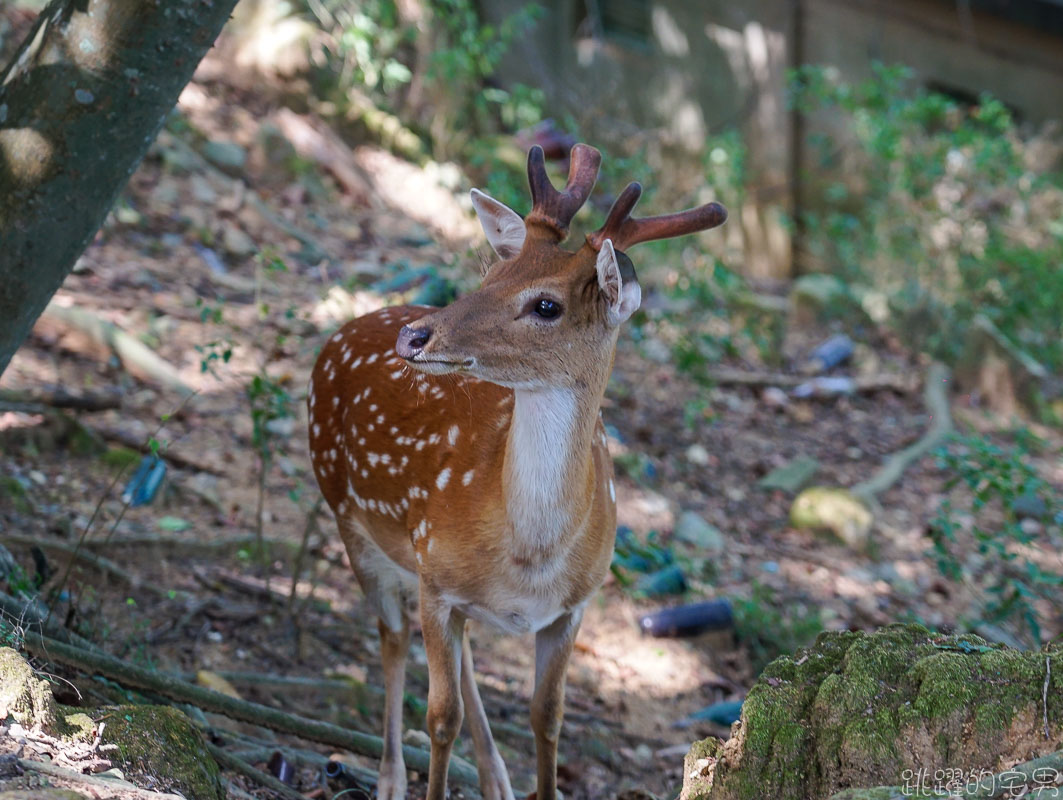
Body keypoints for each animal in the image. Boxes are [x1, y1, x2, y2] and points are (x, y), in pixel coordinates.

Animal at [304, 145, 727, 798]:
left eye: (546, 304)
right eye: (488, 278)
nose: (414, 336)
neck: (530, 555)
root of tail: (344, 329)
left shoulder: (574, 605)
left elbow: (547, 716)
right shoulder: (435, 577)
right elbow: (441, 716)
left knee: (460, 654)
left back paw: (496, 778)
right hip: (350, 514)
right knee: (393, 639)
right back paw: (391, 778)